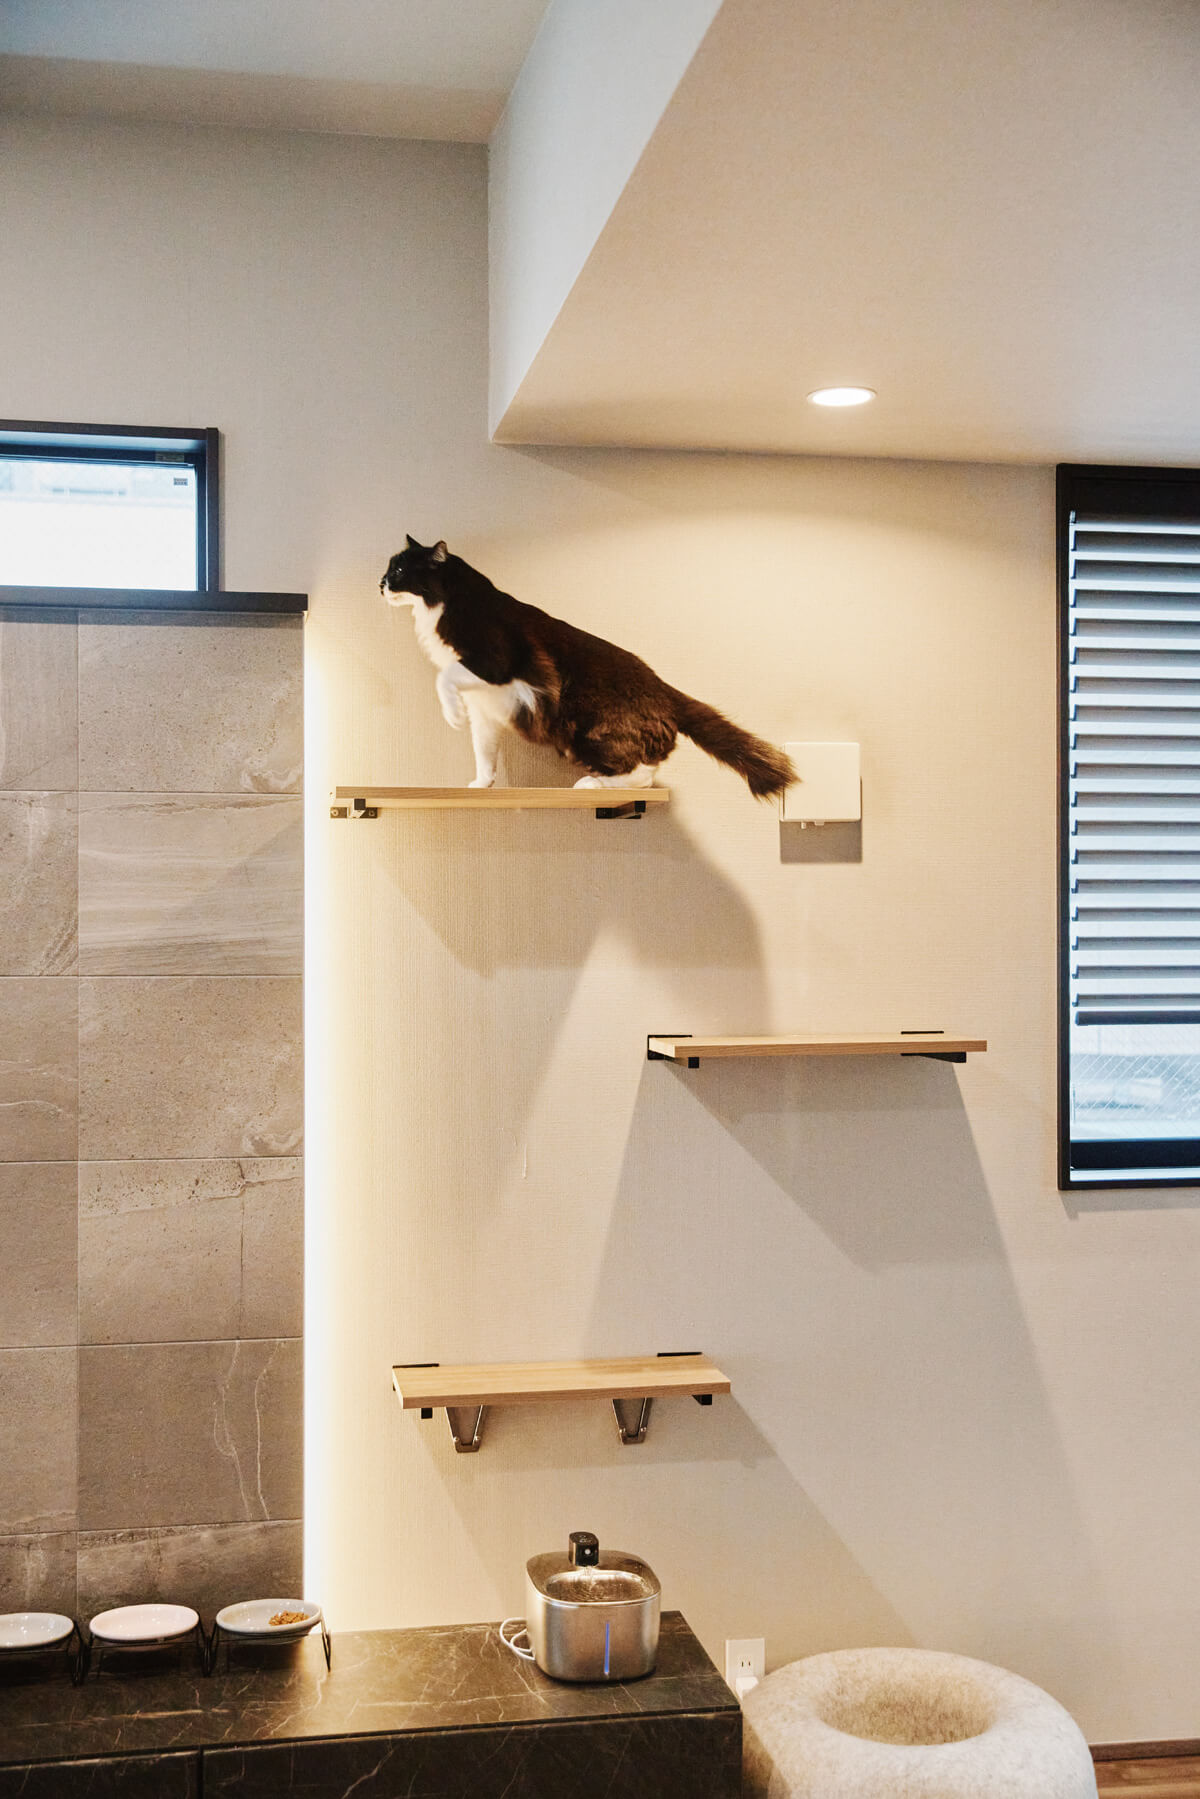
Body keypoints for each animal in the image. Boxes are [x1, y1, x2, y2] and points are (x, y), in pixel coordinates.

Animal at [380, 536, 795, 799]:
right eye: (388, 569)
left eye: (399, 571)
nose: (380, 583)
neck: (447, 603)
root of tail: (664, 687)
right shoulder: (487, 707)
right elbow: (483, 751)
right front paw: (482, 785)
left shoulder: (495, 660)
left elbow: (444, 675)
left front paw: (452, 714)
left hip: (588, 732)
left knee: (645, 773)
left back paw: (592, 785)